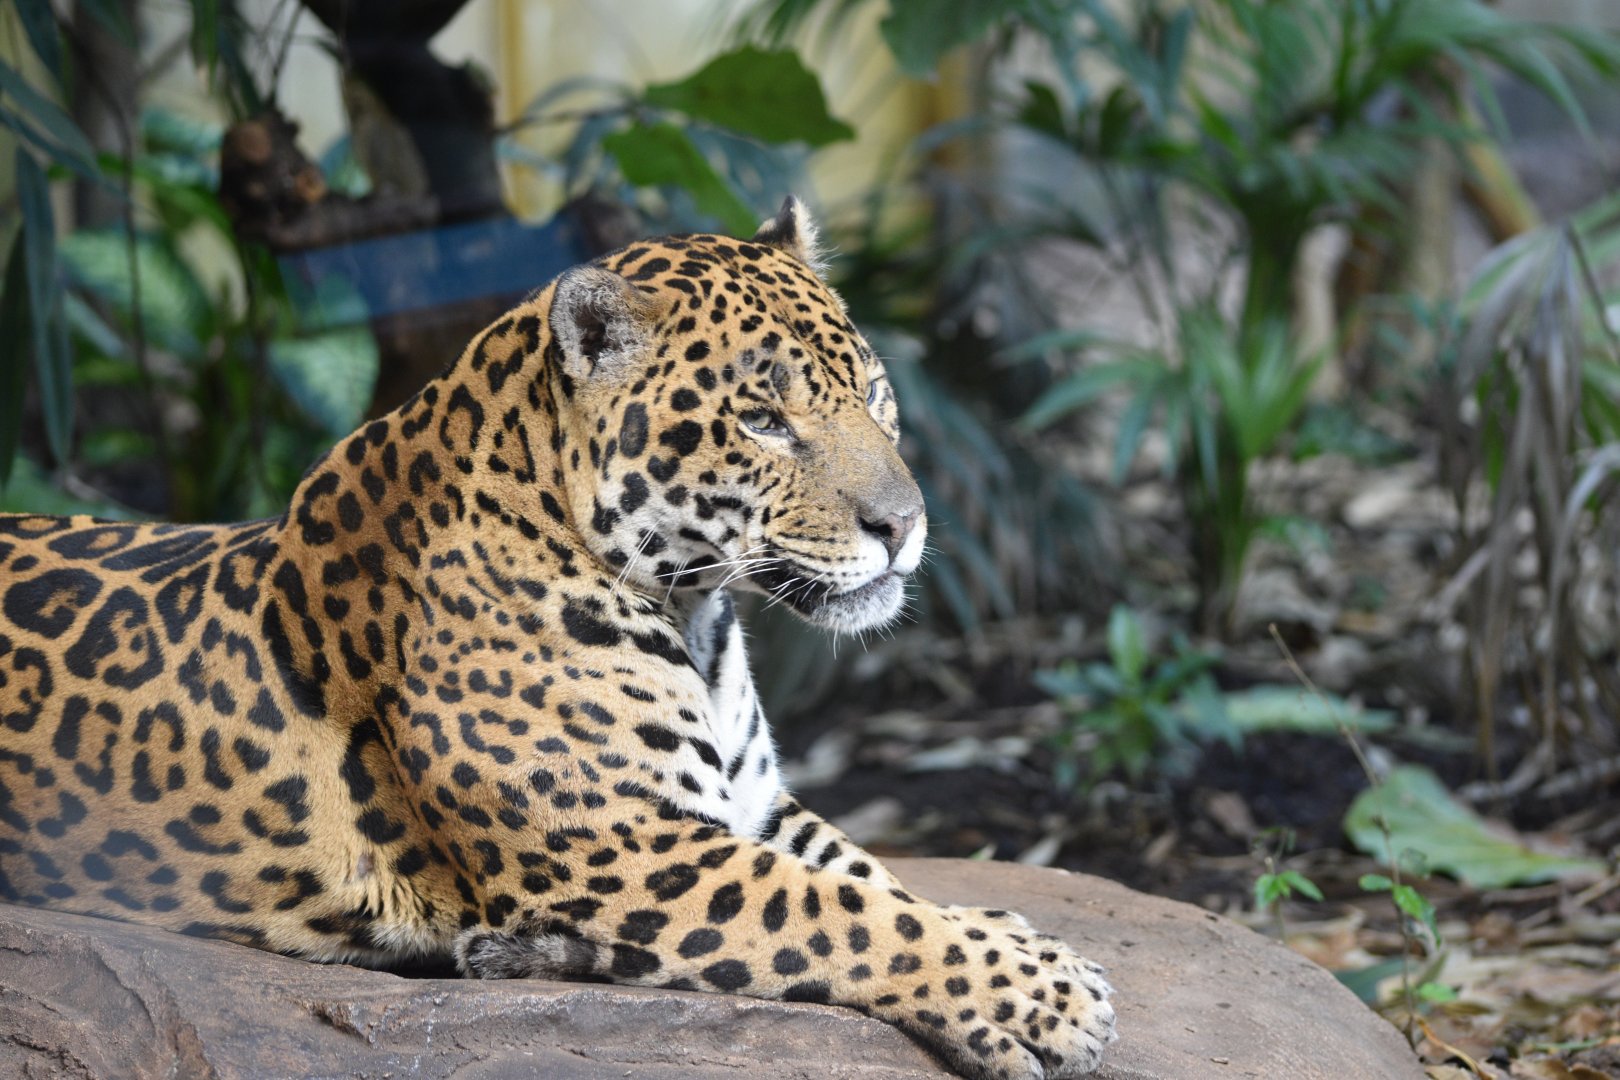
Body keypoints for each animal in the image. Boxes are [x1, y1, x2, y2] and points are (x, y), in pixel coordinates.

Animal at [0, 197, 1116, 1079]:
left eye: (876, 394)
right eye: (761, 419)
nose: (906, 525)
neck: (694, 613)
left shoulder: (748, 806)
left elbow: (875, 882)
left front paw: (1002, 945)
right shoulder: (627, 849)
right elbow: (837, 914)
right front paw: (1049, 991)